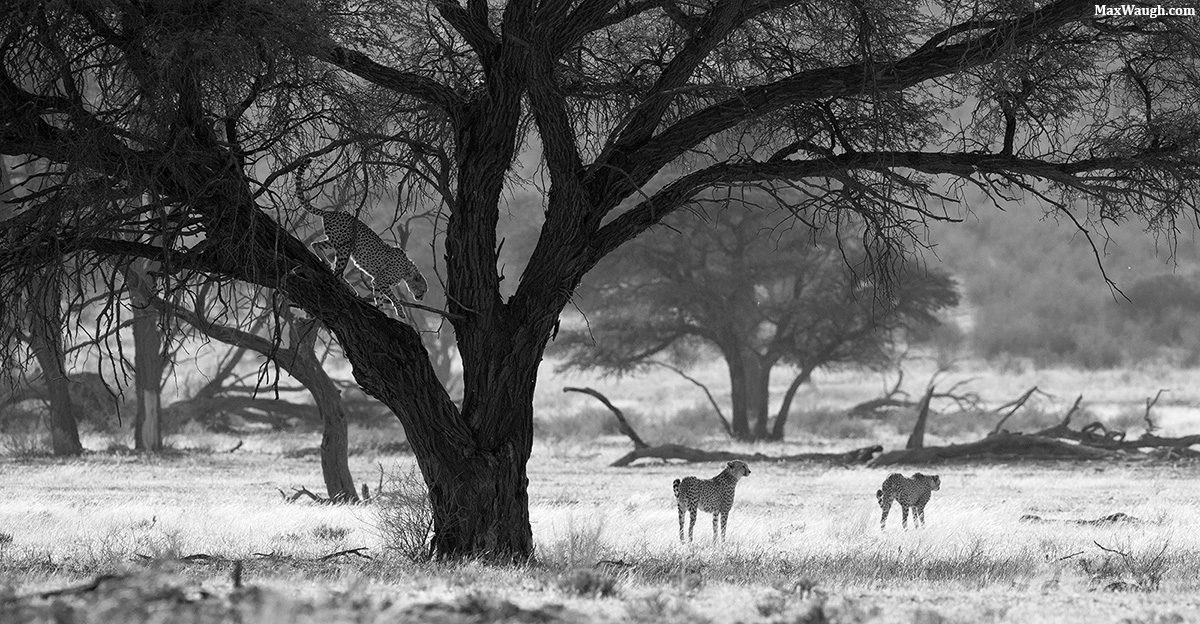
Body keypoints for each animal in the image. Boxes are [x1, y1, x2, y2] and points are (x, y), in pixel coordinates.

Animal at [294, 160, 428, 318]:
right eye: (423, 290)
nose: (421, 298)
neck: (407, 270)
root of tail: (331, 212)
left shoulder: (376, 282)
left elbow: (379, 297)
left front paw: (380, 310)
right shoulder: (381, 280)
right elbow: (393, 297)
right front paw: (399, 311)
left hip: (337, 242)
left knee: (316, 244)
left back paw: (326, 262)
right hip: (345, 248)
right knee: (337, 273)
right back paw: (350, 288)